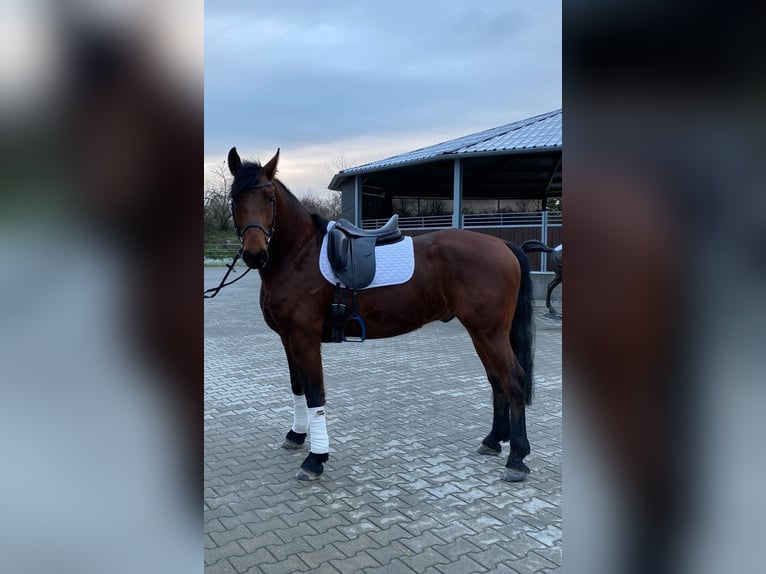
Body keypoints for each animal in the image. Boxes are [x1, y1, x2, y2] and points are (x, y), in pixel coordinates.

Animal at [224, 147, 536, 483]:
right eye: (234, 198)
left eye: (269, 197)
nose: (255, 254)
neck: (299, 255)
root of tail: (503, 244)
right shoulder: (287, 338)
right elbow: (298, 388)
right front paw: (296, 436)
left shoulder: (304, 339)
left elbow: (315, 394)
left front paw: (316, 459)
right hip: (482, 332)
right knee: (496, 379)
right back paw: (493, 441)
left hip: (489, 333)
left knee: (513, 380)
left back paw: (517, 458)